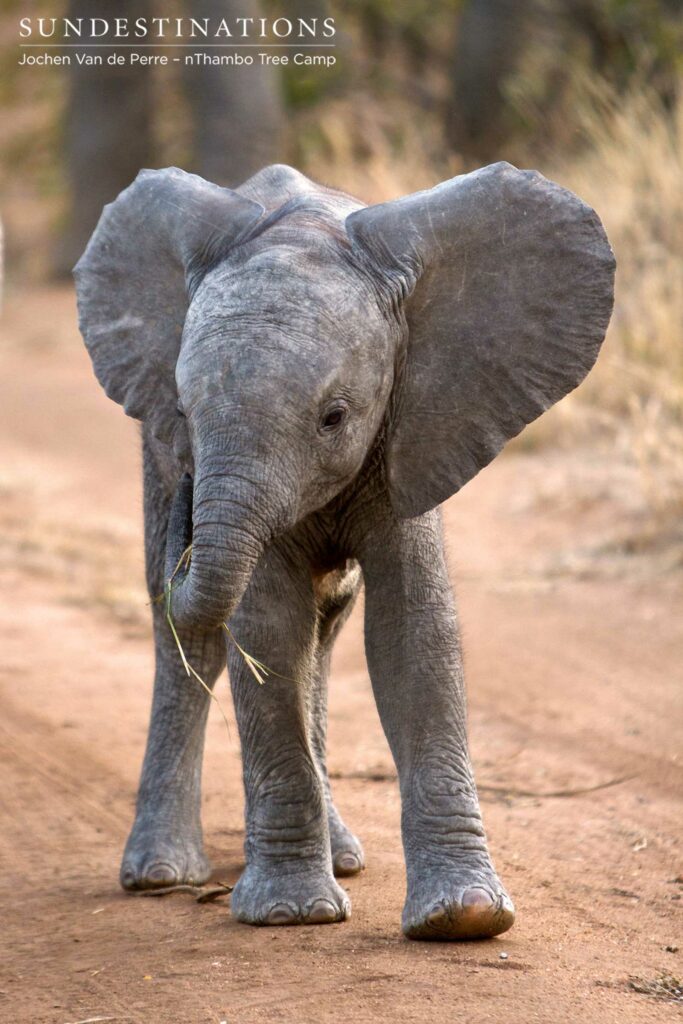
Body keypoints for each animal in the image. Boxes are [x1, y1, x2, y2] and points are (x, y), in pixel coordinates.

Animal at [74, 161, 614, 939]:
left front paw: (464, 919)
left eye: (335, 417)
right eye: (185, 411)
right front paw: (291, 915)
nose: (191, 492)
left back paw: (344, 857)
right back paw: (161, 874)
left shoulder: (415, 422)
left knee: (323, 631)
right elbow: (266, 629)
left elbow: (411, 632)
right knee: (190, 636)